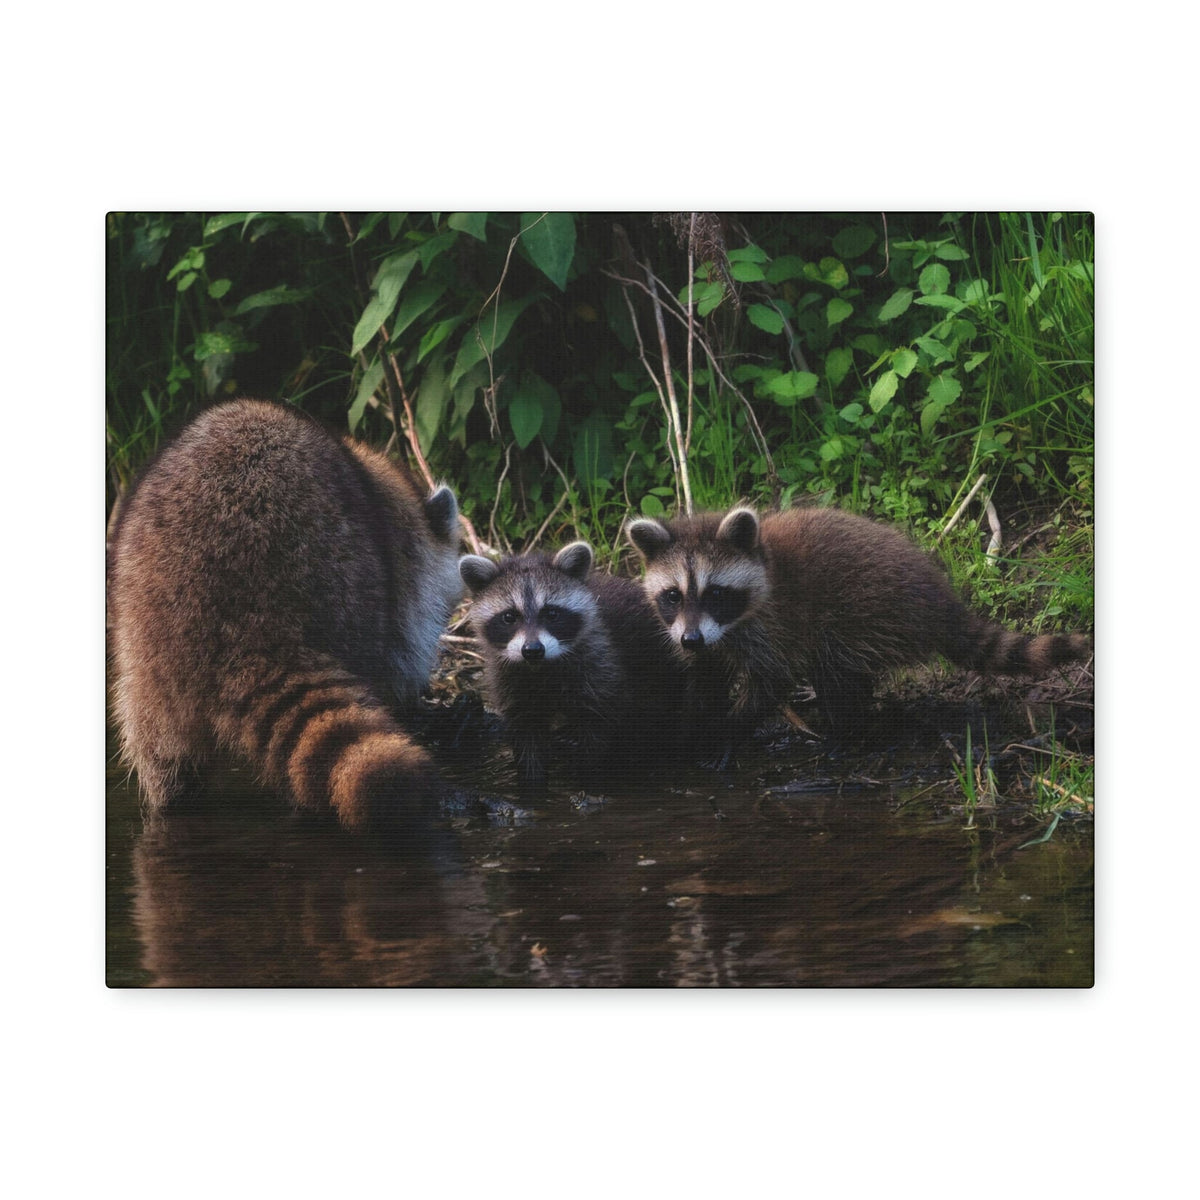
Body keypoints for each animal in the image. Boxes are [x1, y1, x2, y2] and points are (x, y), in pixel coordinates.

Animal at [458, 542, 684, 789]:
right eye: (509, 617)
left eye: (551, 613)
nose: (532, 650)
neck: (541, 667)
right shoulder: (511, 681)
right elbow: (527, 737)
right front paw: (532, 784)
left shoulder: (600, 666)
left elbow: (596, 733)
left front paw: (585, 778)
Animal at [627, 504, 1091, 763]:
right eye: (673, 595)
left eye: (717, 593)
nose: (690, 640)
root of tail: (940, 598)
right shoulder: (700, 636)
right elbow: (704, 676)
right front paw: (694, 726)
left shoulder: (775, 626)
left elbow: (772, 682)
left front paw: (728, 730)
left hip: (868, 614)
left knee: (836, 668)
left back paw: (847, 730)